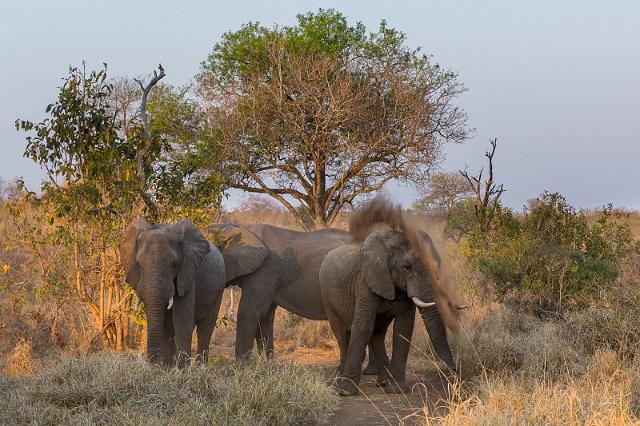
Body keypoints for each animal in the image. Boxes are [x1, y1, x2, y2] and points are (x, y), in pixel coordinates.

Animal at [121, 220, 226, 366]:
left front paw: (181, 368)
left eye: (175, 264)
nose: (152, 363)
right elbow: (165, 321)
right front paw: (167, 366)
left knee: (206, 326)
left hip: (219, 288)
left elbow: (182, 317)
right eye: (138, 263)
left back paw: (200, 367)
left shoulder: (188, 273)